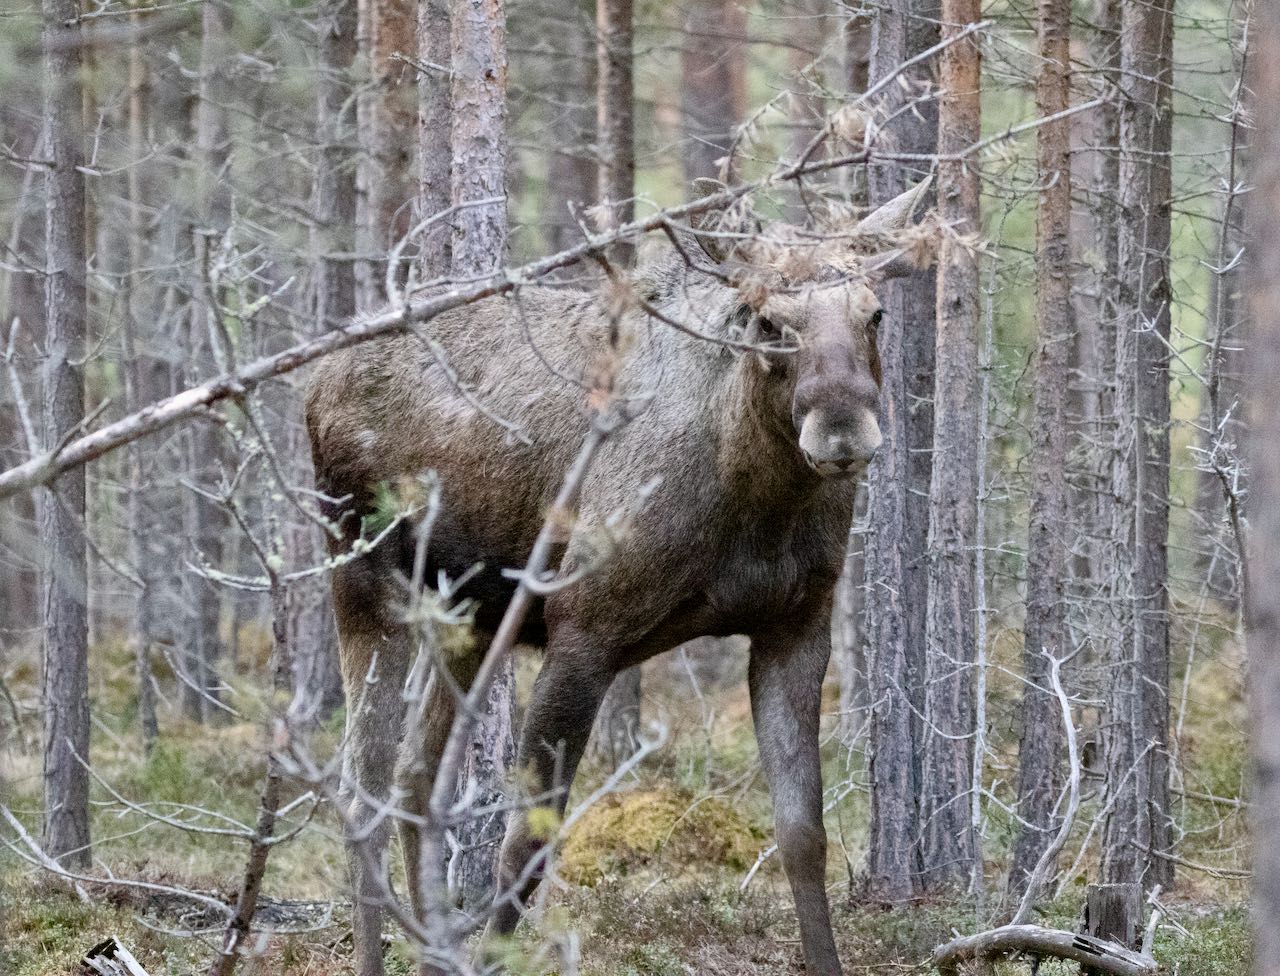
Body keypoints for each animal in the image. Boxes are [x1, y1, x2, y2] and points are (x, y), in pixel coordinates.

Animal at [304, 176, 936, 973]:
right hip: (362, 578)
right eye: (766, 320)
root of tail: (314, 379)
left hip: (467, 618)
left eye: (874, 312)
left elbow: (803, 837)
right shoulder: (583, 629)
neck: (756, 500)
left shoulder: (795, 627)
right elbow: (525, 848)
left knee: (419, 780)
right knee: (363, 787)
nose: (844, 431)